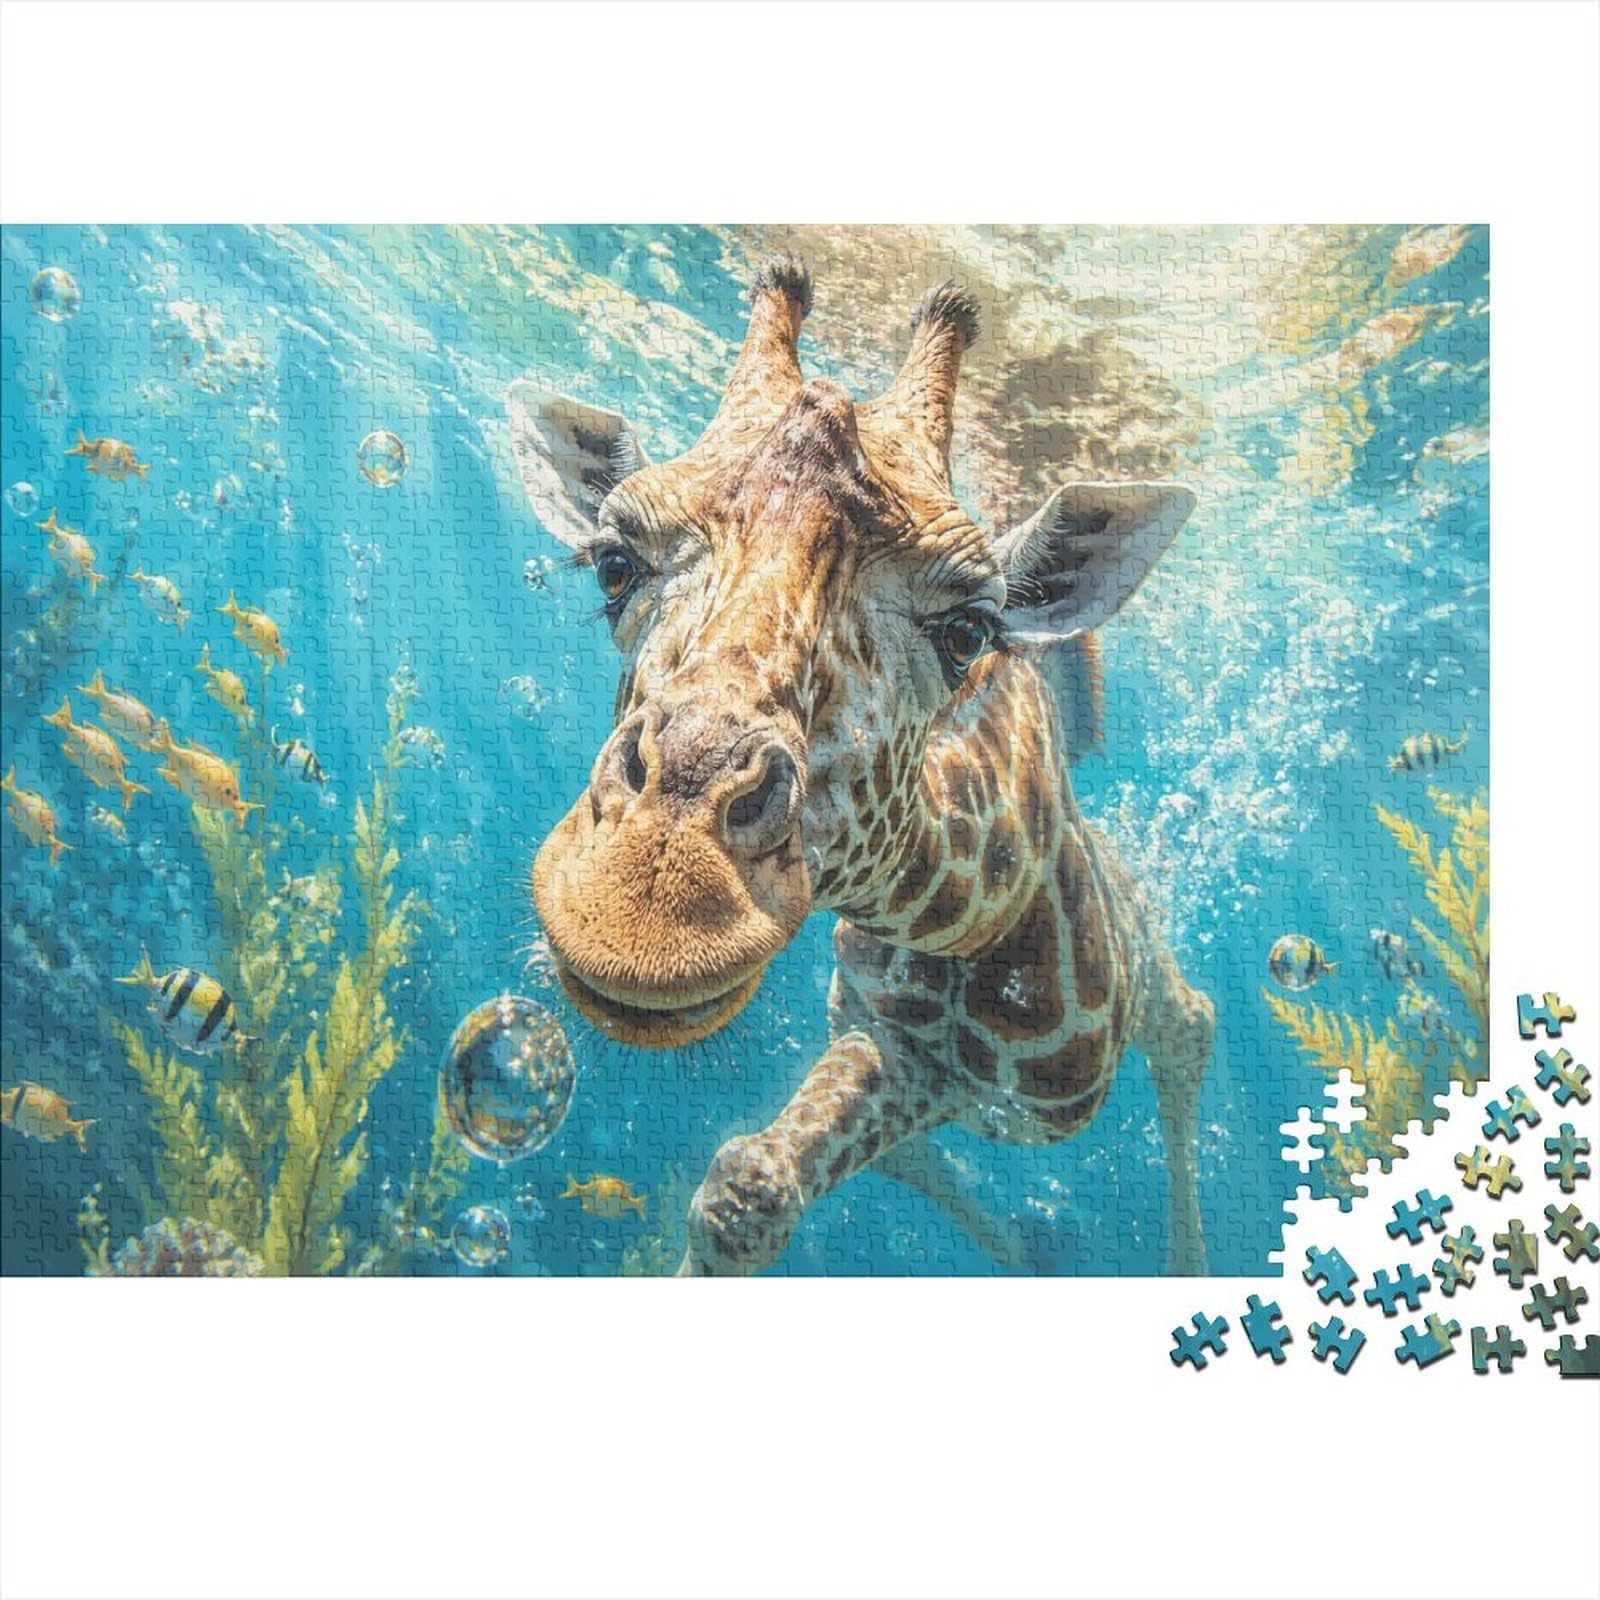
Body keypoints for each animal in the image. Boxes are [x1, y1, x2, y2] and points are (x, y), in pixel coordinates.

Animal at [508, 256, 1213, 1276]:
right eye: (612, 564)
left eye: (969, 630)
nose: (648, 901)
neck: (961, 921)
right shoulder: (893, 1041)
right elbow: (751, 1185)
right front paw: (1030, 1244)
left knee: (1191, 1021)